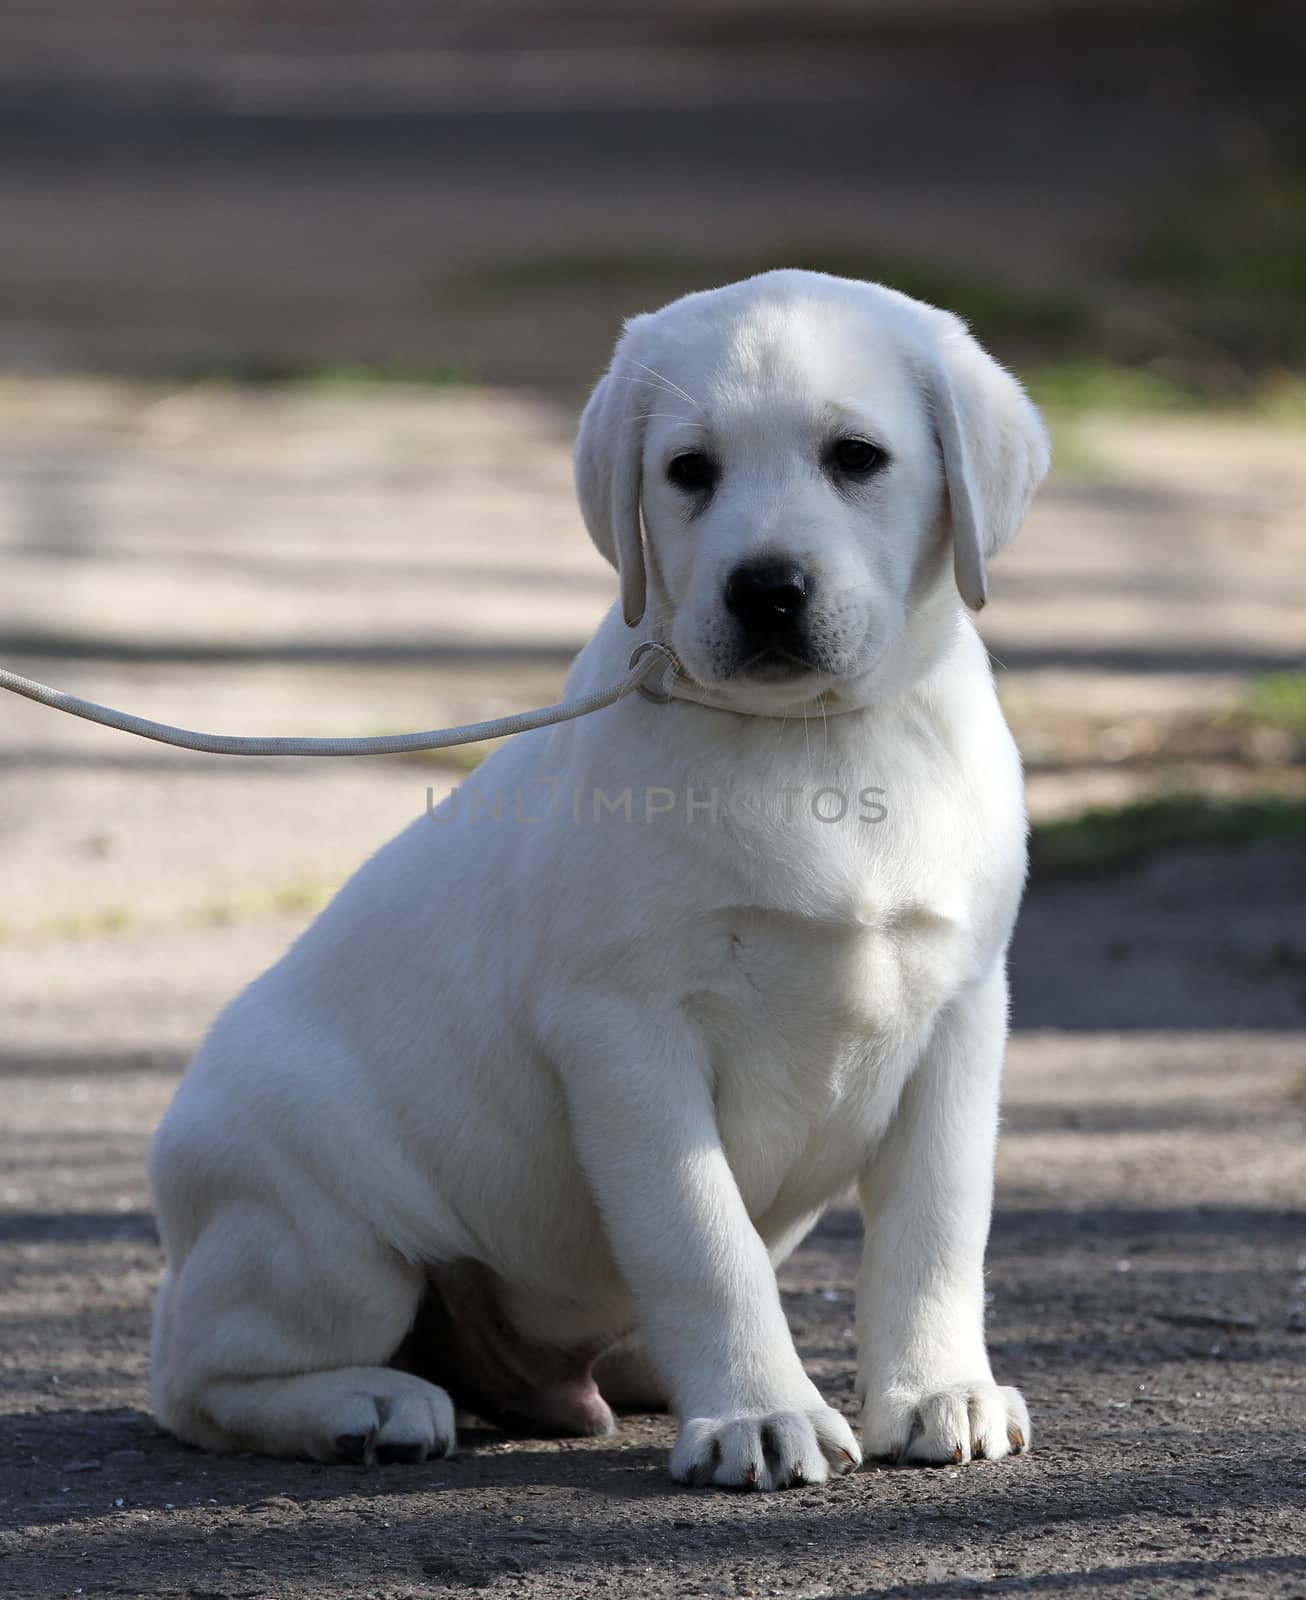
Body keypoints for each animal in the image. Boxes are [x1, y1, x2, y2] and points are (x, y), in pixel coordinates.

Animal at [150, 272, 1049, 1484]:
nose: (766, 589)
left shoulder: (960, 1010)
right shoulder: (626, 1030)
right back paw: (368, 1403)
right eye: (688, 471)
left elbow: (936, 1227)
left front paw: (936, 1389)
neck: (811, 745)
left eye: (857, 457)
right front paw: (759, 1412)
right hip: (320, 1234)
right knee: (195, 1376)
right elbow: (701, 1237)